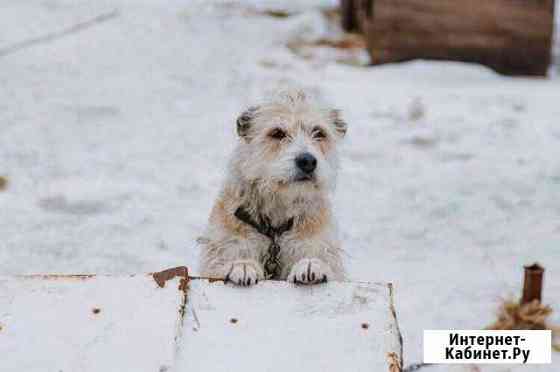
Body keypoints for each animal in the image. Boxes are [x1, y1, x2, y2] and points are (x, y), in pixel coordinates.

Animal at [197, 89, 346, 284]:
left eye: (319, 132)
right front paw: (241, 265)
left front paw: (312, 264)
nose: (307, 161)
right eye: (277, 133)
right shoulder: (223, 250)